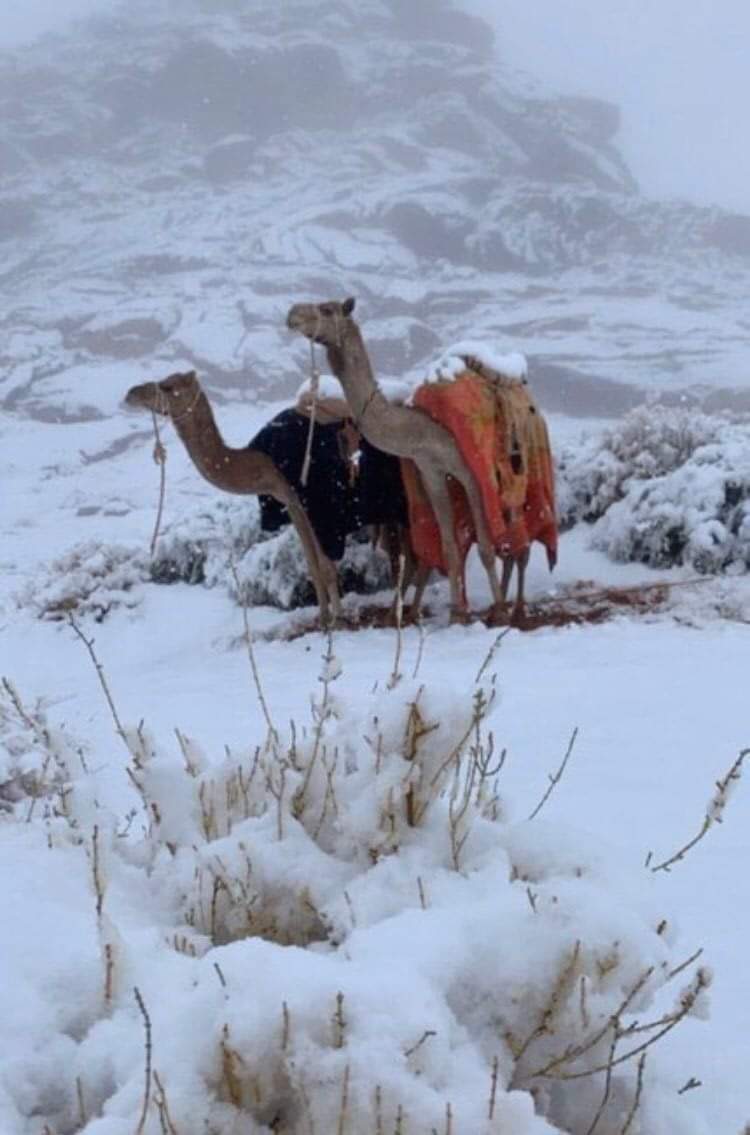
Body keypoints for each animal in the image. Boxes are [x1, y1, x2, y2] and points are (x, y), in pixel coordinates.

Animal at [124, 370, 340, 621]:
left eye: (168, 386)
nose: (131, 393)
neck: (264, 462)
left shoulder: (306, 498)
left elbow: (324, 565)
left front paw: (339, 618)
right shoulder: (290, 502)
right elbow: (312, 564)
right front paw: (323, 620)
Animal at [284, 297, 508, 626]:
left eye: (326, 309)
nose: (292, 315)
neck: (421, 428)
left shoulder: (468, 470)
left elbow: (486, 545)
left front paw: (500, 610)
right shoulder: (429, 469)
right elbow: (449, 547)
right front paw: (457, 613)